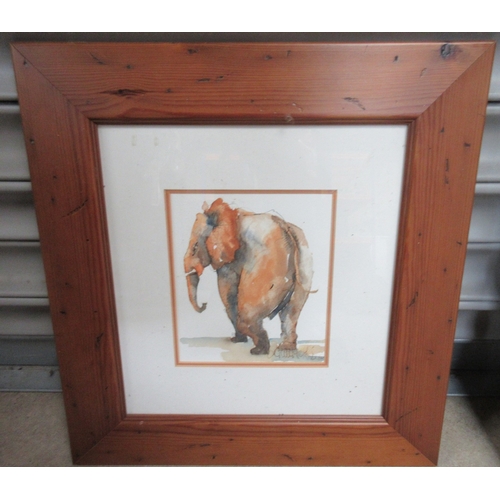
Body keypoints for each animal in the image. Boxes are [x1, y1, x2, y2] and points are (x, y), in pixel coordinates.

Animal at [184, 198, 313, 355]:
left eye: (195, 248)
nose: (204, 304)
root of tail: (285, 227)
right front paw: (236, 341)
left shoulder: (229, 259)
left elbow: (227, 293)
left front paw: (238, 341)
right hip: (305, 264)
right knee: (291, 312)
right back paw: (286, 350)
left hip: (269, 267)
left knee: (248, 313)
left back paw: (258, 351)